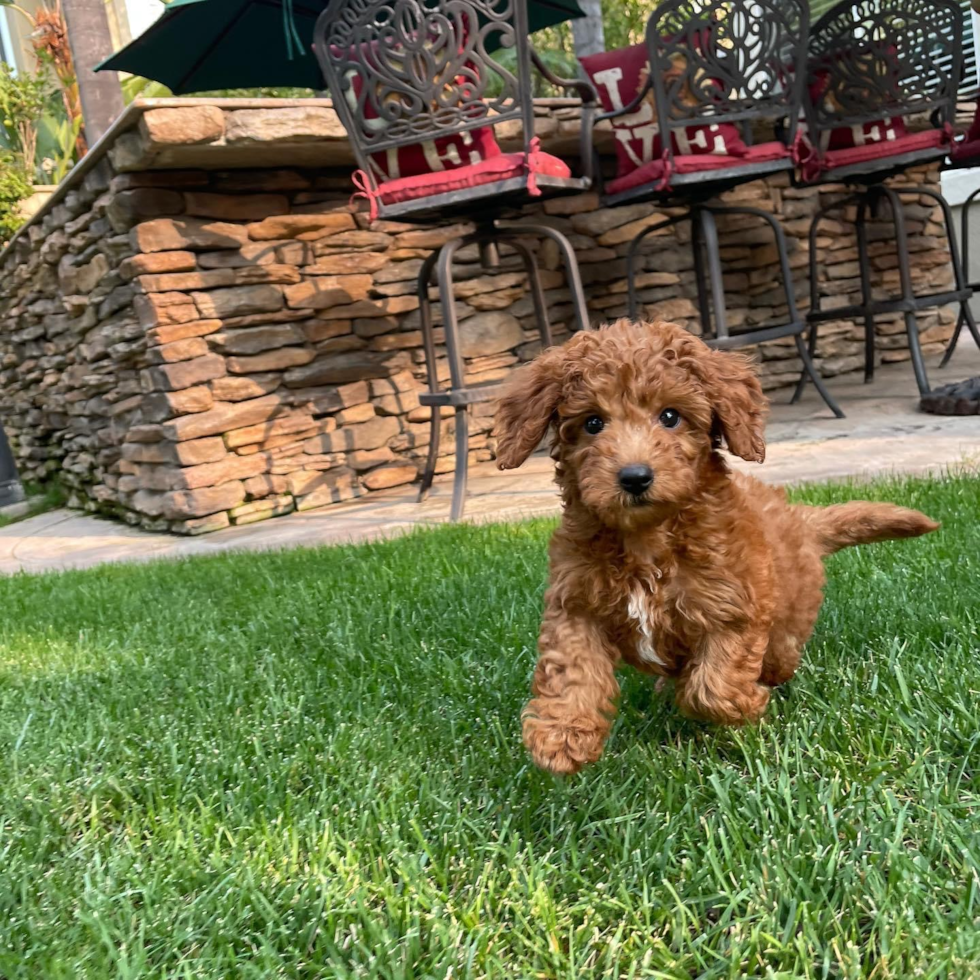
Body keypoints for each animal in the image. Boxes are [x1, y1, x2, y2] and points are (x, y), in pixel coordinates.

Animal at [498, 320, 940, 772]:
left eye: (670, 416)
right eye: (592, 423)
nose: (635, 477)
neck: (646, 539)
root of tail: (799, 519)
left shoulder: (733, 607)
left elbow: (712, 687)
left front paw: (747, 704)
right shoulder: (575, 602)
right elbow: (571, 668)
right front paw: (562, 736)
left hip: (787, 622)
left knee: (778, 657)